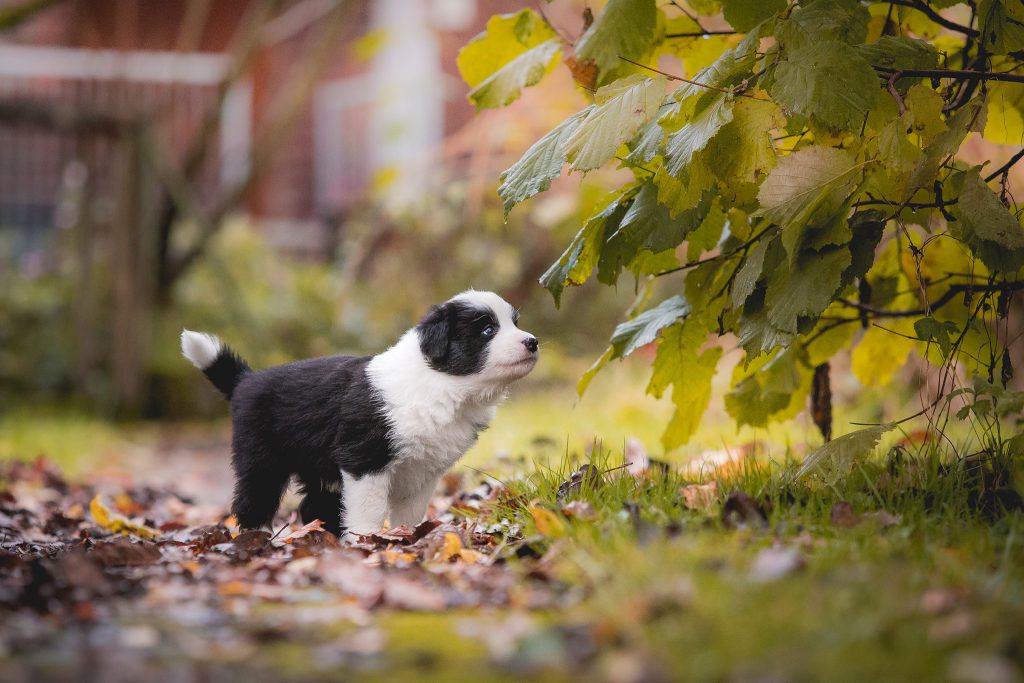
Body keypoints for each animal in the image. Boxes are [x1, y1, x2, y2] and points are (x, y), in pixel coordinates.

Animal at [180, 288, 540, 540]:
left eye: (515, 323)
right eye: (487, 330)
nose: (533, 342)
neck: (441, 383)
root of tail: (247, 379)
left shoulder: (423, 471)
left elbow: (410, 512)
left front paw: (407, 539)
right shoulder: (365, 459)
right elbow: (370, 509)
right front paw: (367, 543)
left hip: (318, 468)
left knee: (313, 505)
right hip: (262, 459)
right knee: (253, 501)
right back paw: (257, 540)